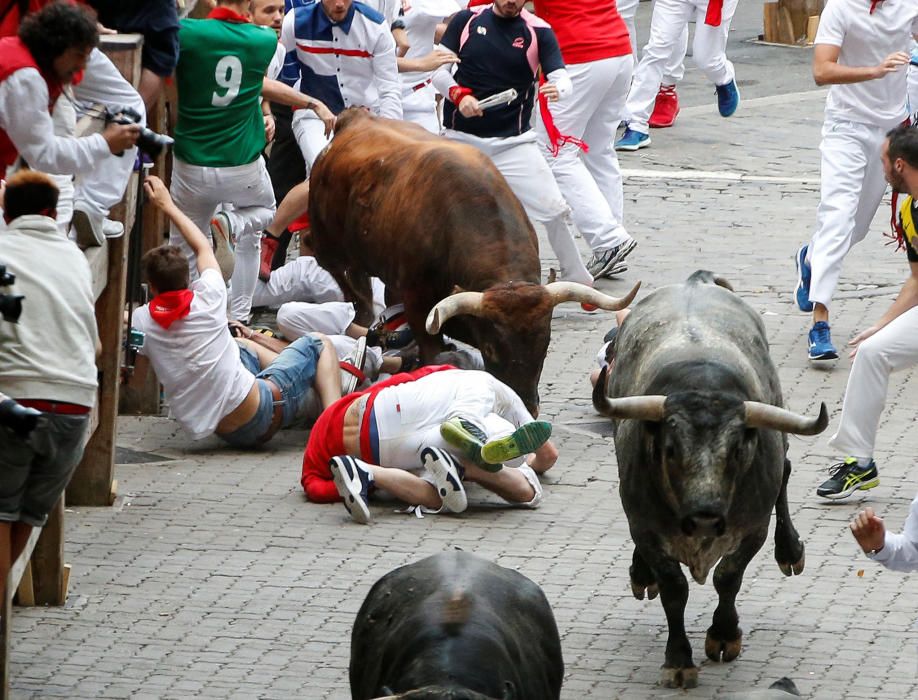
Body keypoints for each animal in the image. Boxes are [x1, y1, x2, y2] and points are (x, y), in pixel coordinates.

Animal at [310, 110, 640, 412]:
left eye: (545, 346)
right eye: (491, 348)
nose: (526, 406)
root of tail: (355, 117)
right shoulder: (419, 304)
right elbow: (431, 350)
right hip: (329, 247)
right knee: (350, 286)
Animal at [592, 272, 832, 688]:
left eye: (736, 451)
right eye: (671, 449)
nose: (704, 516)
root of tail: (696, 281)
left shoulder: (752, 529)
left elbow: (727, 577)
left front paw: (723, 635)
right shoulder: (646, 528)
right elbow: (674, 589)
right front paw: (678, 660)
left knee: (785, 470)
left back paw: (790, 551)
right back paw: (641, 574)